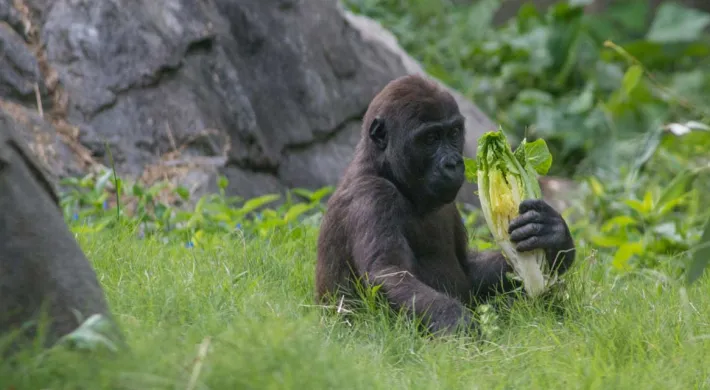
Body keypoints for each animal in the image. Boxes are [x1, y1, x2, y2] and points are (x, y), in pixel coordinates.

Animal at [318, 75, 580, 336]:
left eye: (453, 133)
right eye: (431, 139)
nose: (453, 163)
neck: (385, 170)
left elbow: (469, 268)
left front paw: (554, 236)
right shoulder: (372, 195)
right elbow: (388, 274)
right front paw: (459, 324)